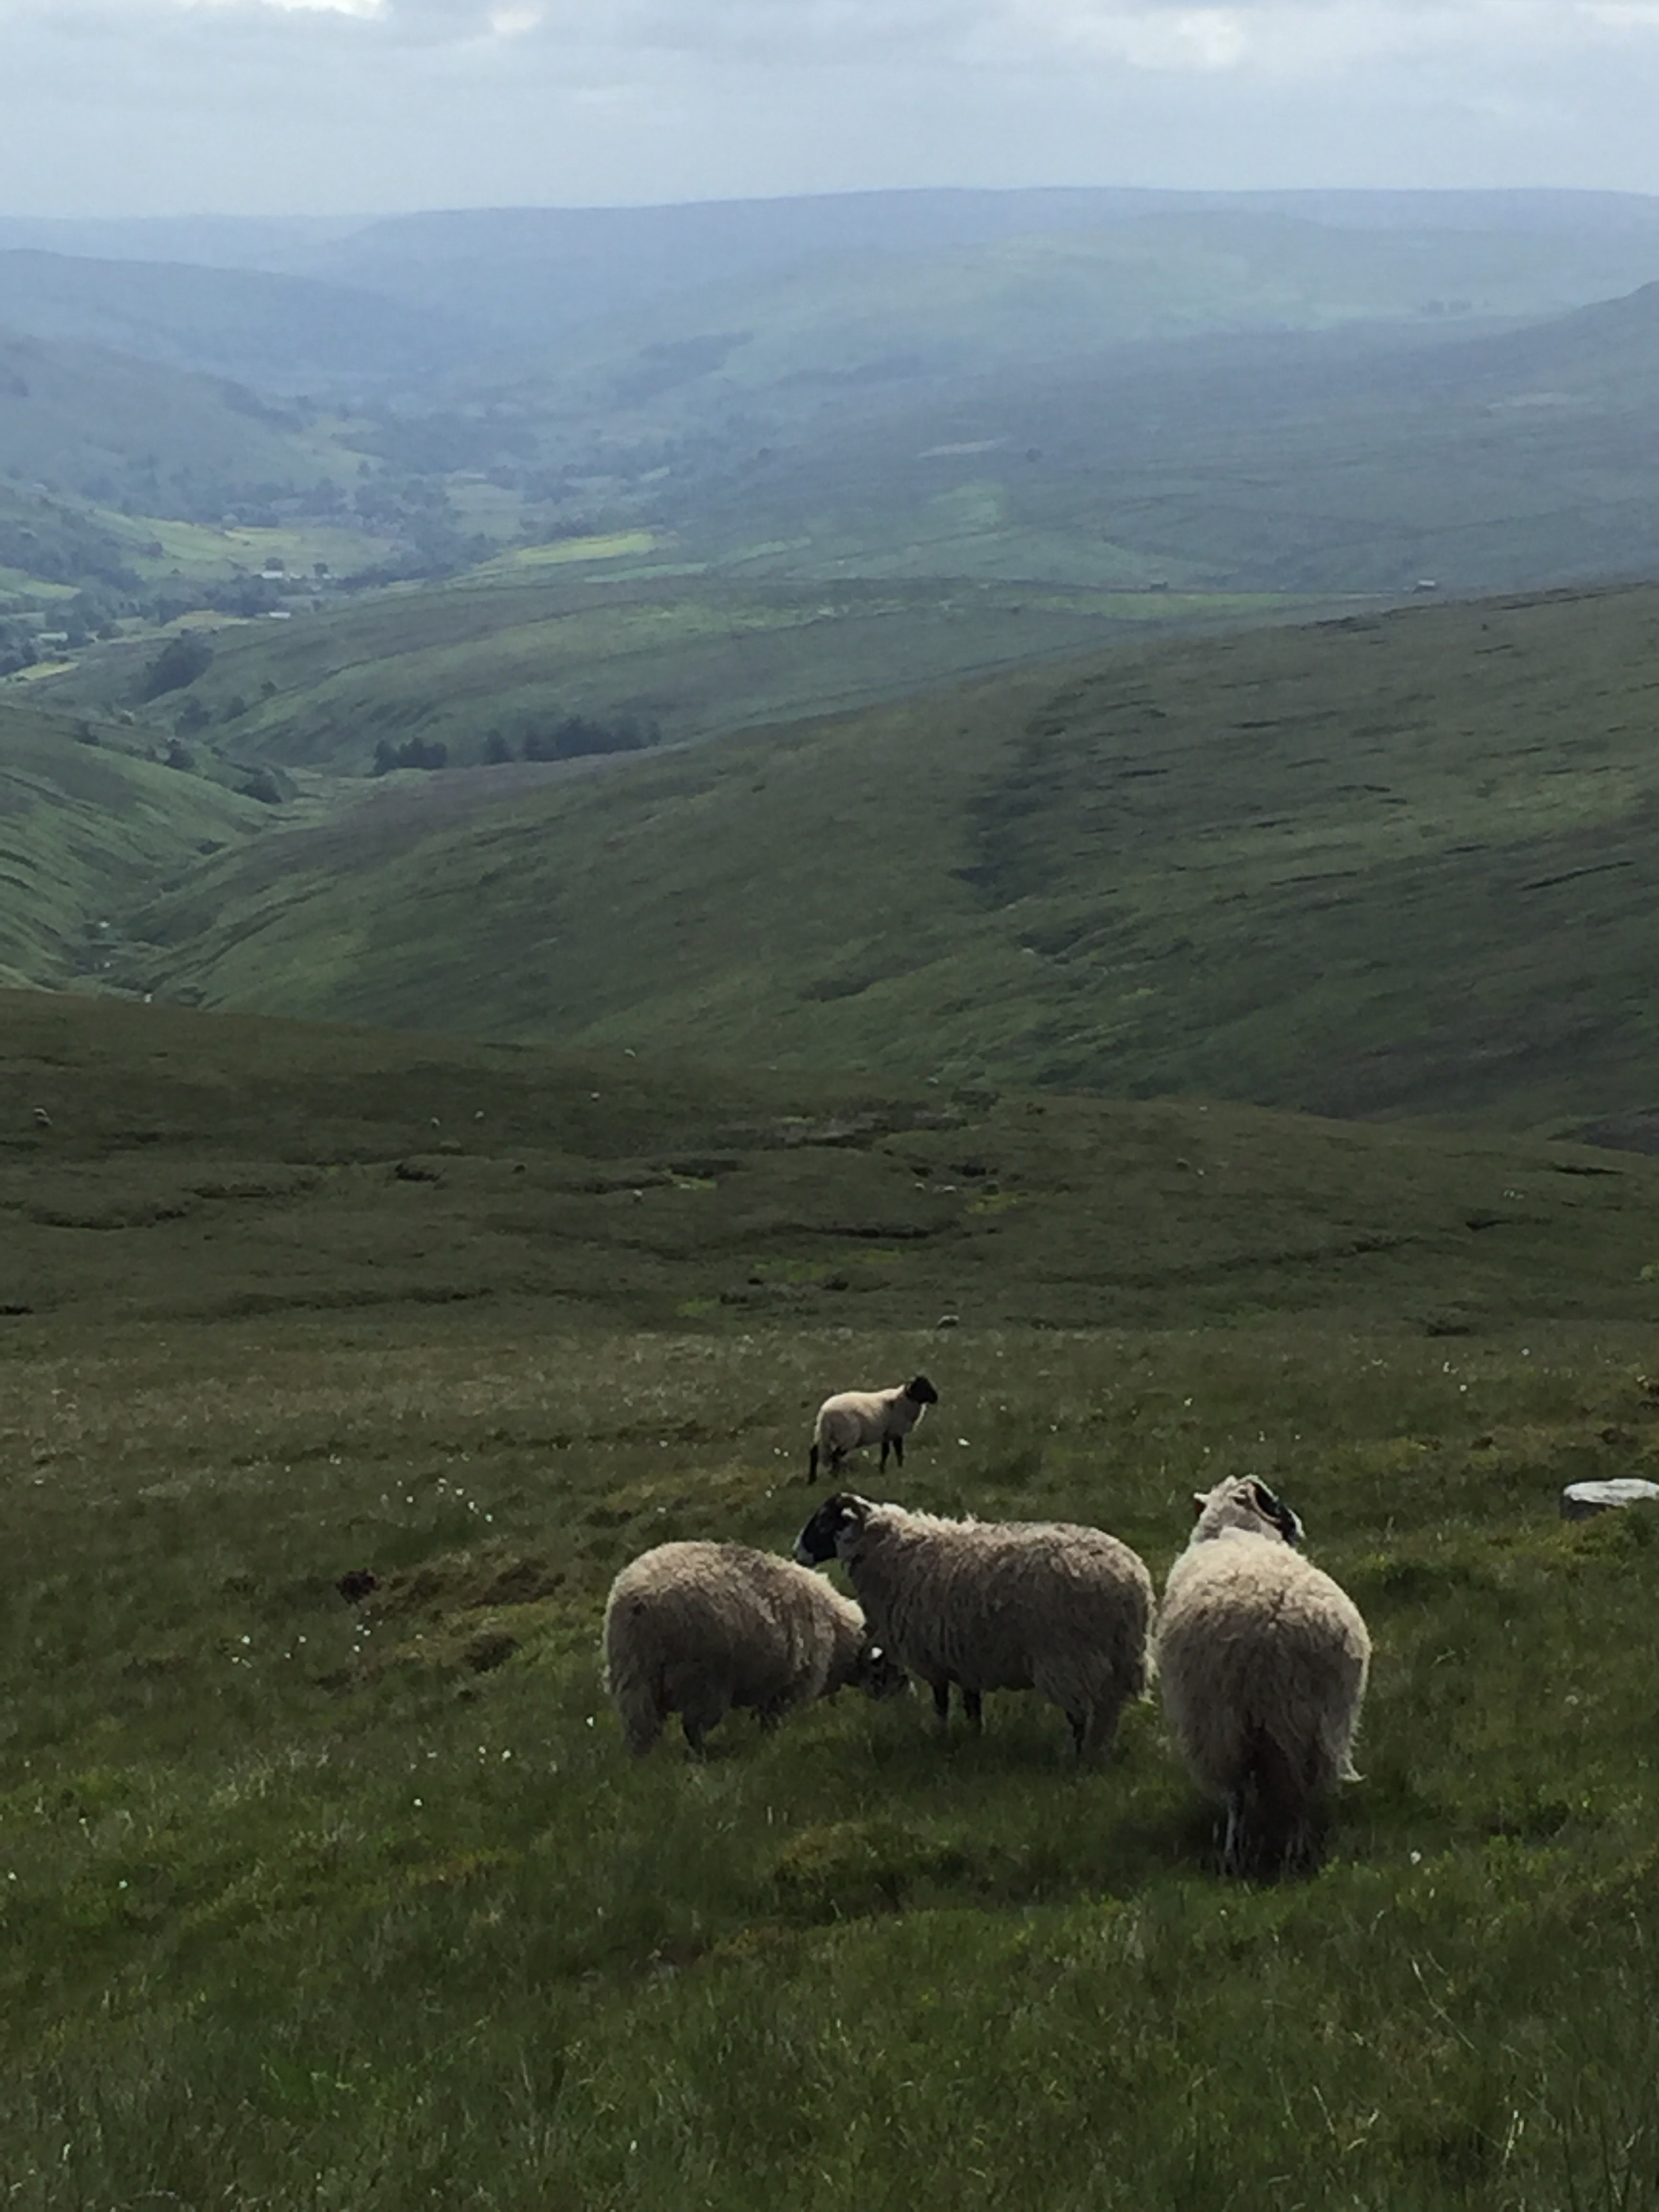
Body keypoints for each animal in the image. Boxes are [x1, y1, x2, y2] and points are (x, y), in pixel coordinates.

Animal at [601, 1539, 907, 1756]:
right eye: (891, 1667)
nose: (906, 1701)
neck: (840, 1638)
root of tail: (637, 1600)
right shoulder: (788, 1688)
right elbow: (771, 1724)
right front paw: (773, 1747)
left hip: (633, 1679)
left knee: (641, 1729)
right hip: (702, 1682)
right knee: (692, 1728)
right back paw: (703, 1759)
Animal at [793, 1492, 1153, 1758]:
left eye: (823, 1521)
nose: (797, 1552)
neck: (891, 1549)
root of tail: (1130, 1583)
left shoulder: (933, 1657)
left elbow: (941, 1703)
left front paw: (940, 1738)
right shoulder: (965, 1656)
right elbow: (972, 1705)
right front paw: (975, 1738)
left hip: (1068, 1657)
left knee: (1080, 1714)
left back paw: (1072, 1756)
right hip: (1119, 1657)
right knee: (1109, 1711)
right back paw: (1099, 1752)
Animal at [806, 1374, 939, 1484]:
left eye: (928, 1384)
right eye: (921, 1387)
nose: (936, 1398)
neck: (904, 1400)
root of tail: (825, 1413)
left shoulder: (886, 1435)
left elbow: (885, 1453)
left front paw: (882, 1471)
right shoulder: (896, 1432)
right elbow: (899, 1453)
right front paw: (900, 1469)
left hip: (821, 1434)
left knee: (814, 1453)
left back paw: (812, 1480)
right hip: (847, 1437)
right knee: (834, 1457)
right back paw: (835, 1478)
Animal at [1155, 1475, 1371, 1881]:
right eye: (1275, 1501)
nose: (1298, 1524)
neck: (1234, 1529)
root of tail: (1274, 1621)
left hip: (1226, 1721)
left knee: (1239, 1792)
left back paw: (1236, 1853)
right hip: (1314, 1721)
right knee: (1297, 1790)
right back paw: (1292, 1852)